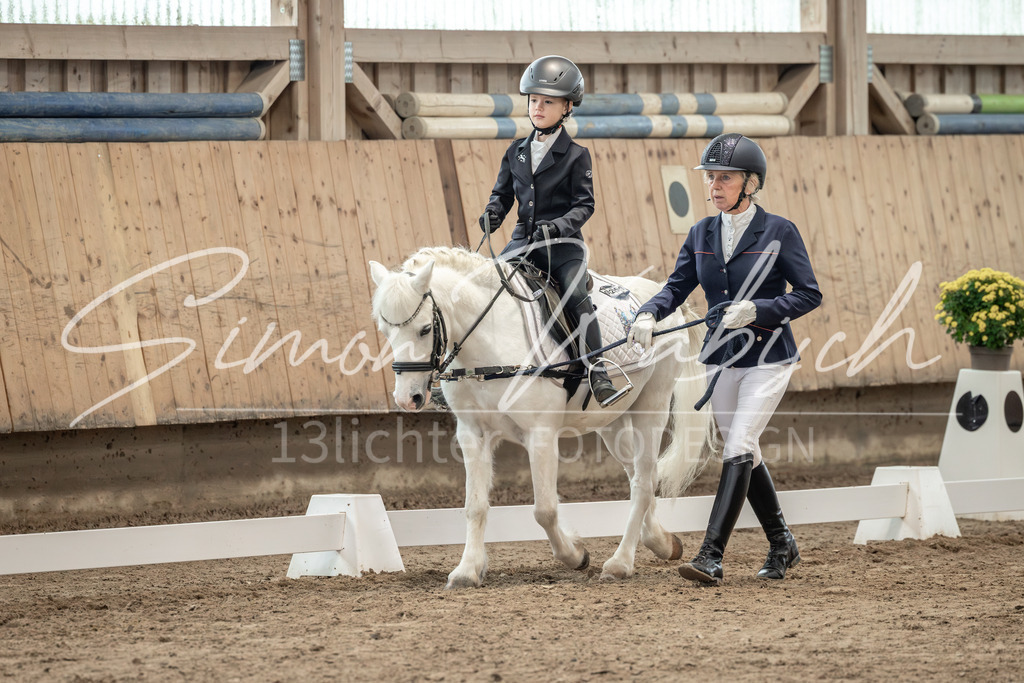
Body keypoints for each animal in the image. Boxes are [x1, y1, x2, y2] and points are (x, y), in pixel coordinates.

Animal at [369, 246, 713, 588]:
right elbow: (475, 506)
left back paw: (620, 563)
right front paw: (467, 570)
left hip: (651, 405)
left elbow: (544, 510)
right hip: (611, 421)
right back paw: (662, 542)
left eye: (425, 329)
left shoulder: (541, 434)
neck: (490, 340)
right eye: (385, 331)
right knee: (641, 475)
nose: (408, 398)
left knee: (643, 481)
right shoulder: (472, 434)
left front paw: (576, 555)